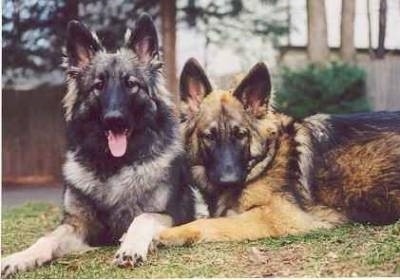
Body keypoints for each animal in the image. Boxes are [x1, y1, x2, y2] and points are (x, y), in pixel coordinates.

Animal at [1, 14, 198, 276]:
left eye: (131, 84)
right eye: (98, 85)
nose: (114, 119)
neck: (114, 167)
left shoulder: (174, 216)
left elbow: (142, 218)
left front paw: (130, 247)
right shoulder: (78, 225)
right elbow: (47, 239)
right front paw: (19, 257)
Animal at [157, 58, 400, 245]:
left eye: (241, 134)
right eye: (209, 136)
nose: (229, 180)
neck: (266, 160)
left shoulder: (276, 216)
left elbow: (207, 222)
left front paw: (168, 233)